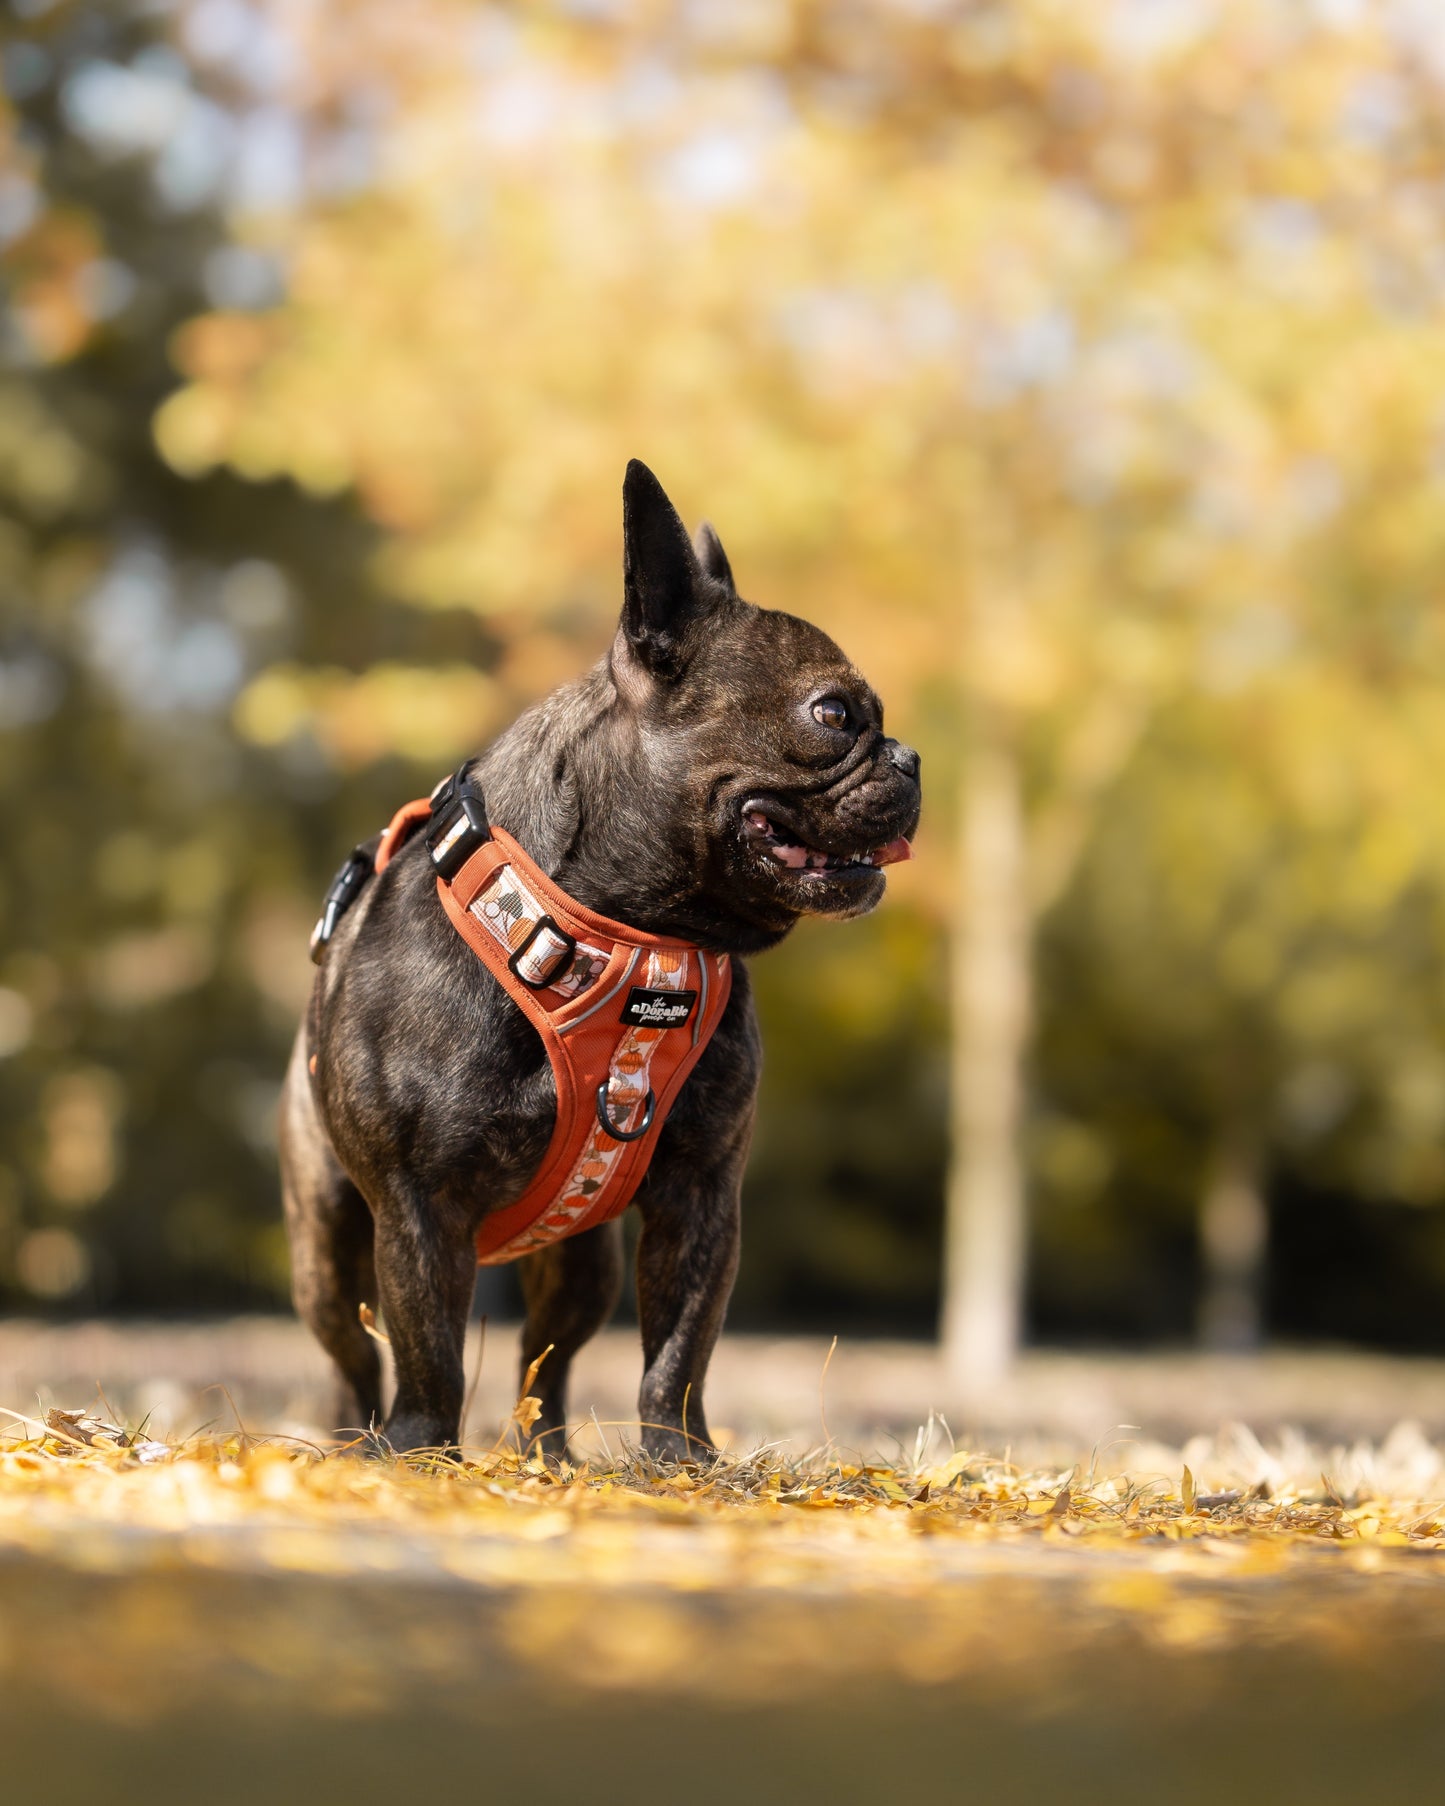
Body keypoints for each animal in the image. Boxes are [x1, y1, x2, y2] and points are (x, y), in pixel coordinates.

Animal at [276, 462, 921, 1452]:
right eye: (833, 712)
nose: (911, 757)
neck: (636, 939)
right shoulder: (418, 1206)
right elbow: (428, 1350)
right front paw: (423, 1448)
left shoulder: (700, 1196)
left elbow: (680, 1348)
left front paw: (679, 1459)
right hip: (325, 1245)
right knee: (355, 1354)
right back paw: (359, 1443)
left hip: (584, 1261)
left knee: (546, 1361)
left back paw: (550, 1458)